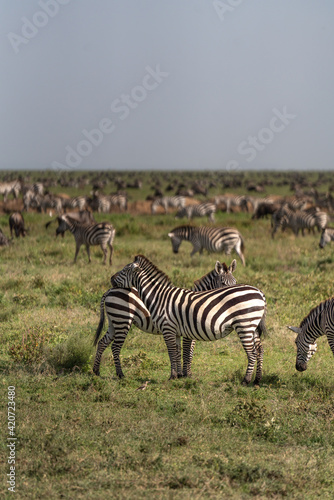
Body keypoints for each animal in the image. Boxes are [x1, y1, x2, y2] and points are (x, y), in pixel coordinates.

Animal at [92, 260, 237, 376]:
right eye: (223, 283)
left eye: (235, 282)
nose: (233, 297)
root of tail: (110, 290)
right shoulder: (187, 332)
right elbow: (186, 352)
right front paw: (186, 374)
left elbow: (182, 352)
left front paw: (181, 373)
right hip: (122, 319)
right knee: (115, 346)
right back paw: (120, 374)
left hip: (114, 321)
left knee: (102, 342)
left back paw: (96, 371)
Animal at [111, 256, 268, 384]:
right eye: (223, 283)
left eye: (125, 270)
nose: (111, 279)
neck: (159, 297)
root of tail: (260, 292)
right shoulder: (179, 331)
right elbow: (178, 352)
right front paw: (180, 375)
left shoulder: (169, 328)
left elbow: (177, 352)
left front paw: (176, 376)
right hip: (252, 327)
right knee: (259, 350)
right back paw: (257, 380)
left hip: (245, 325)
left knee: (252, 352)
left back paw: (246, 380)